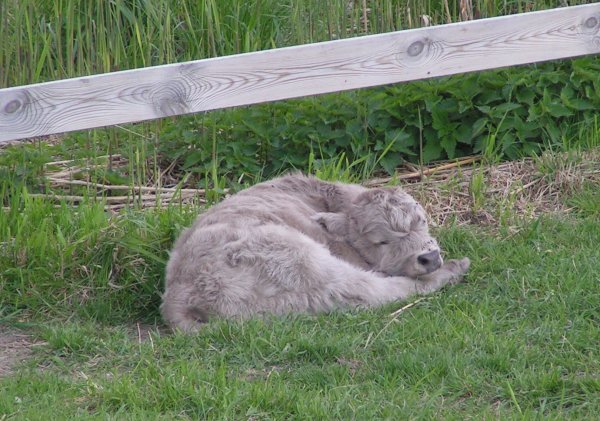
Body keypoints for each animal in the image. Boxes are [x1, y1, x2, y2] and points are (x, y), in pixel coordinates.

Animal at [162, 172, 472, 330]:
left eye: (423, 221)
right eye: (381, 241)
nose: (430, 258)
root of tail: (181, 298)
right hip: (309, 265)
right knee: (377, 291)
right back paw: (453, 268)